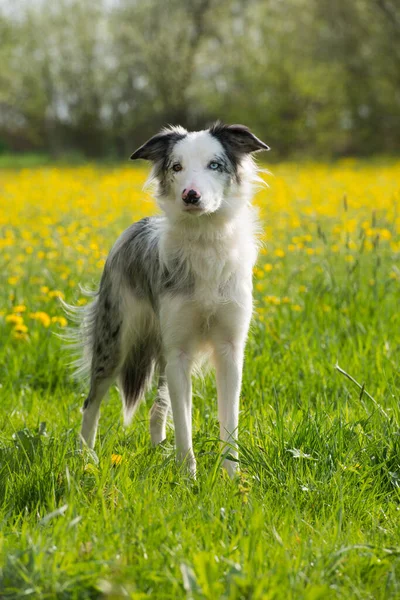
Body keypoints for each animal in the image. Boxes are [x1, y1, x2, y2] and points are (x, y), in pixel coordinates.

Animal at [66, 123, 268, 478]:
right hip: (114, 342)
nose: (190, 195)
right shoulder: (179, 352)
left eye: (214, 164)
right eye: (177, 167)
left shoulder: (229, 350)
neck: (204, 240)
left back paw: (157, 449)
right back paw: (85, 458)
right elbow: (185, 426)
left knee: (157, 409)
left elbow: (228, 422)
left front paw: (232, 478)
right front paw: (188, 477)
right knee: (91, 402)